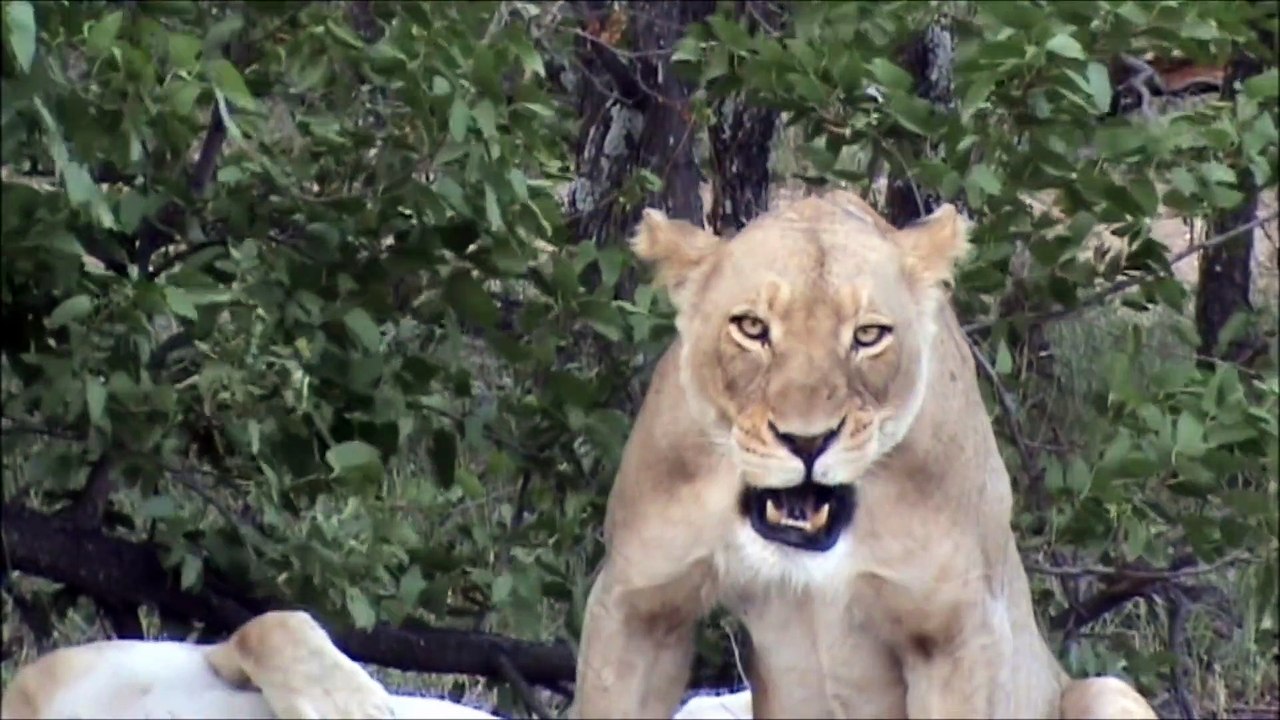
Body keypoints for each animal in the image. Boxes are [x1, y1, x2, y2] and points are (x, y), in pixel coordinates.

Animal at [569, 190, 1158, 719]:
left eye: (869, 334)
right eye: (751, 327)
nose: (807, 441)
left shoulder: (956, 631)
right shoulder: (637, 604)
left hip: (1104, 692)